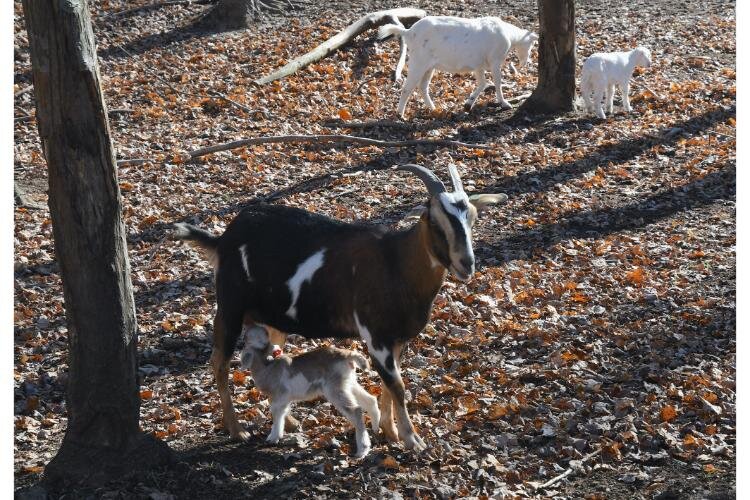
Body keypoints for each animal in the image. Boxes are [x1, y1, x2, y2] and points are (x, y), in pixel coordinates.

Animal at [173, 166, 508, 452]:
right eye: (435, 220)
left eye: (473, 218)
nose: (466, 264)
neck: (395, 263)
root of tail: (224, 238)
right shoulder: (376, 336)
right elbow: (397, 386)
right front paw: (412, 440)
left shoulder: (396, 340)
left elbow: (389, 385)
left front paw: (389, 432)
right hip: (229, 307)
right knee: (219, 362)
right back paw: (236, 429)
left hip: (273, 320)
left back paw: (288, 421)